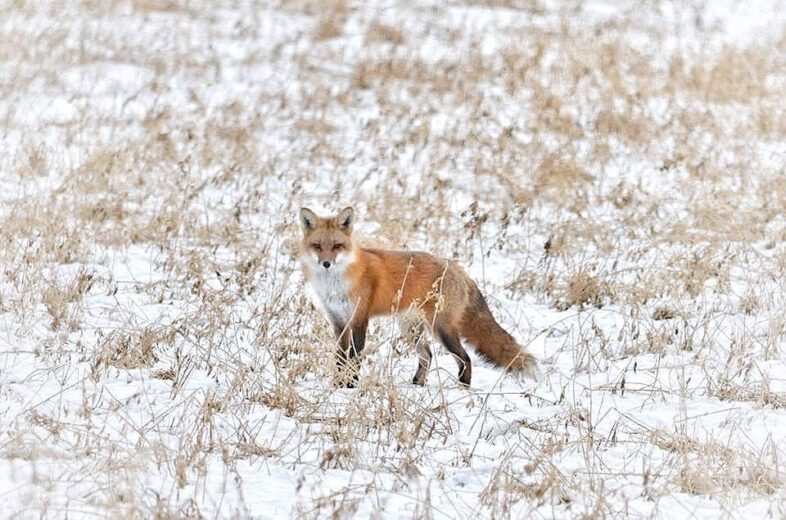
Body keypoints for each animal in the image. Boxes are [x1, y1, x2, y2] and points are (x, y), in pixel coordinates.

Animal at [298, 206, 538, 388]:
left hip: (441, 328)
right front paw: (337, 385)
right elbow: (340, 358)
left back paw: (463, 389)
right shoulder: (338, 321)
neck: (336, 284)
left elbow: (354, 358)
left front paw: (350, 387)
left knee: (465, 358)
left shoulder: (359, 319)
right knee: (427, 355)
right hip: (412, 328)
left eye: (337, 246)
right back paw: (417, 384)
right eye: (317, 246)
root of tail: (457, 268)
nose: (326, 263)